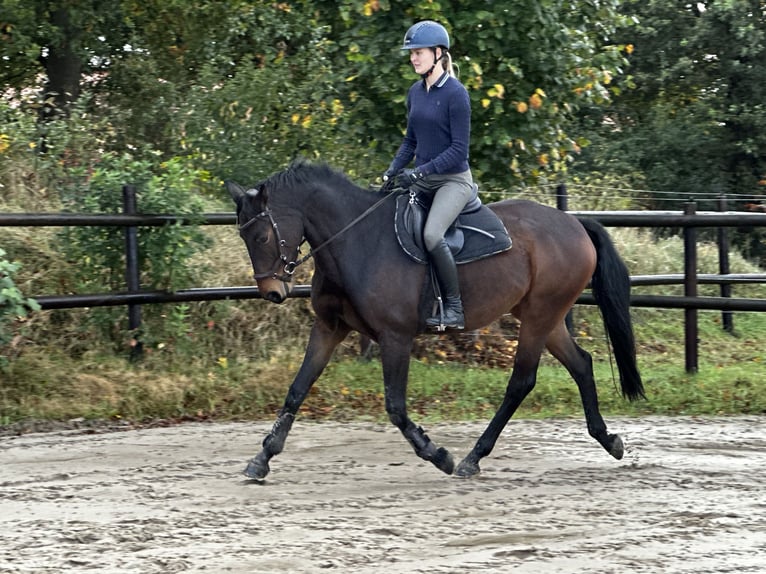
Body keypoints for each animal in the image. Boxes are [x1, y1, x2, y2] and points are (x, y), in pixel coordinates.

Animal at [226, 160, 644, 479]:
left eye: (261, 236)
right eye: (245, 238)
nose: (273, 292)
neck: (357, 240)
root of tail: (574, 223)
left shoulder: (395, 337)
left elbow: (395, 407)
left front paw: (438, 455)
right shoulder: (329, 329)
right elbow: (297, 390)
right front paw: (262, 458)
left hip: (541, 314)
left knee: (521, 382)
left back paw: (472, 458)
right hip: (545, 316)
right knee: (581, 364)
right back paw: (608, 440)